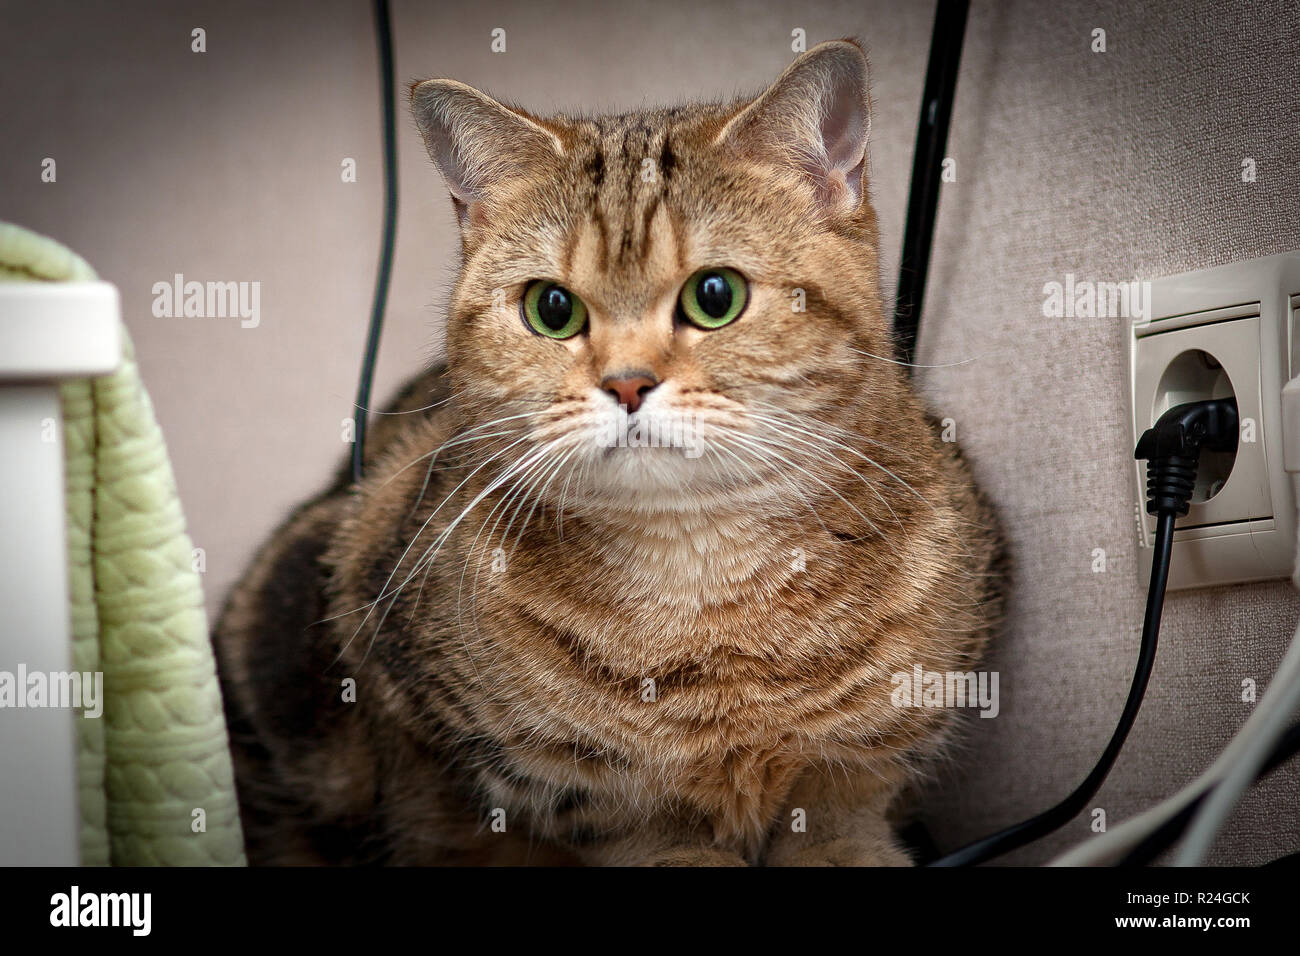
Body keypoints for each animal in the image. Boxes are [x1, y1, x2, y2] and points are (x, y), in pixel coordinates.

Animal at [213, 39, 1003, 868]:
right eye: (552, 308)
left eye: (715, 295)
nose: (627, 383)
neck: (701, 593)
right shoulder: (567, 794)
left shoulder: (865, 762)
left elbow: (845, 814)